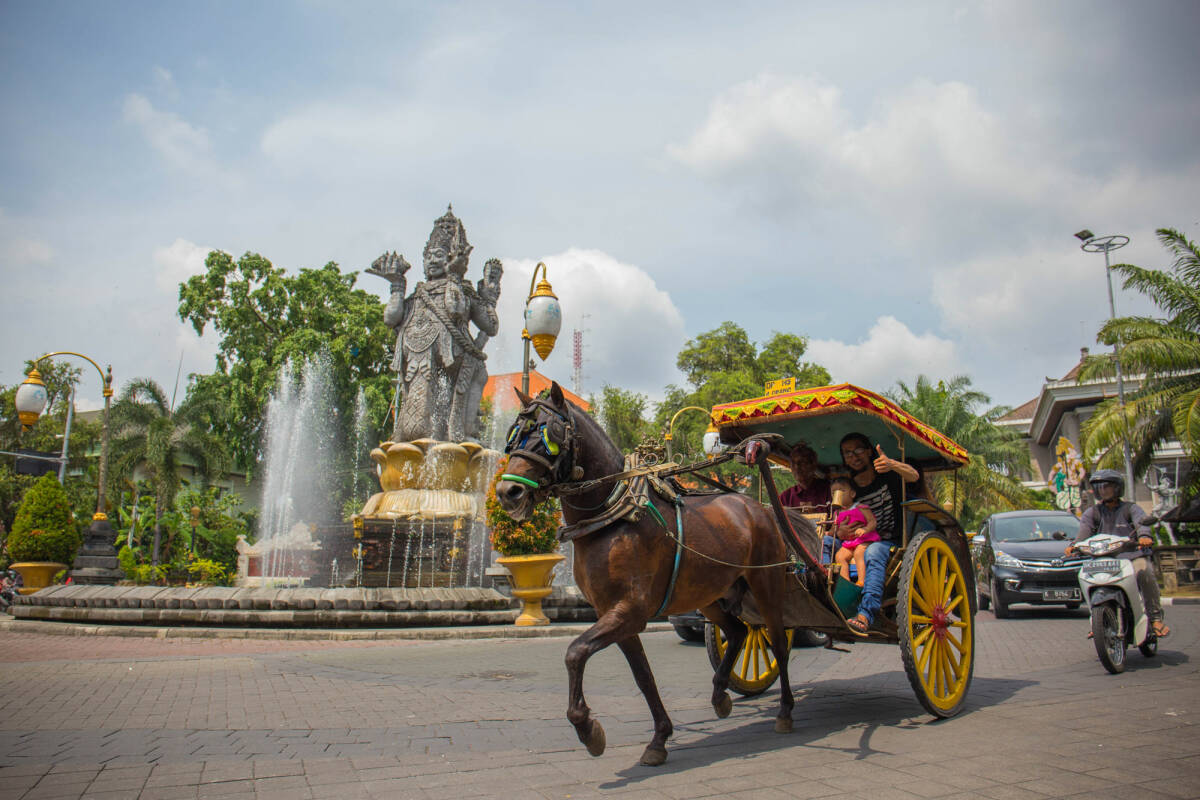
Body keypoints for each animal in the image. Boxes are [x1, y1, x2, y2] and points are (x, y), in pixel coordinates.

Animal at [496, 383, 806, 767]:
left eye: (548, 434)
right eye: (512, 436)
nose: (508, 493)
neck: (612, 516)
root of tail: (756, 506)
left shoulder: (630, 611)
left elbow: (575, 652)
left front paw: (588, 729)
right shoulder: (614, 613)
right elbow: (643, 676)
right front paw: (659, 738)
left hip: (765, 583)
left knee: (776, 642)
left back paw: (785, 711)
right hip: (709, 594)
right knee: (737, 631)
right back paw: (720, 695)